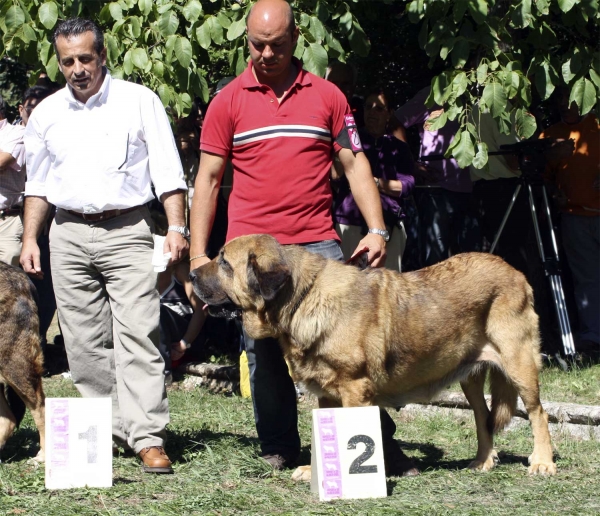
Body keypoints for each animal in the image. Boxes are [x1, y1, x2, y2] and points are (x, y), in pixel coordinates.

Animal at [192, 234, 556, 480]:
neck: (302, 299)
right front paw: (314, 471)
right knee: (483, 416)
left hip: (519, 363)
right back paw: (483, 461)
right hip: (470, 376)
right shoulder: (326, 395)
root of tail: (515, 272)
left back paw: (542, 462)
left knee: (538, 412)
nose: (192, 275)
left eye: (224, 262)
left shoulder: (355, 389)